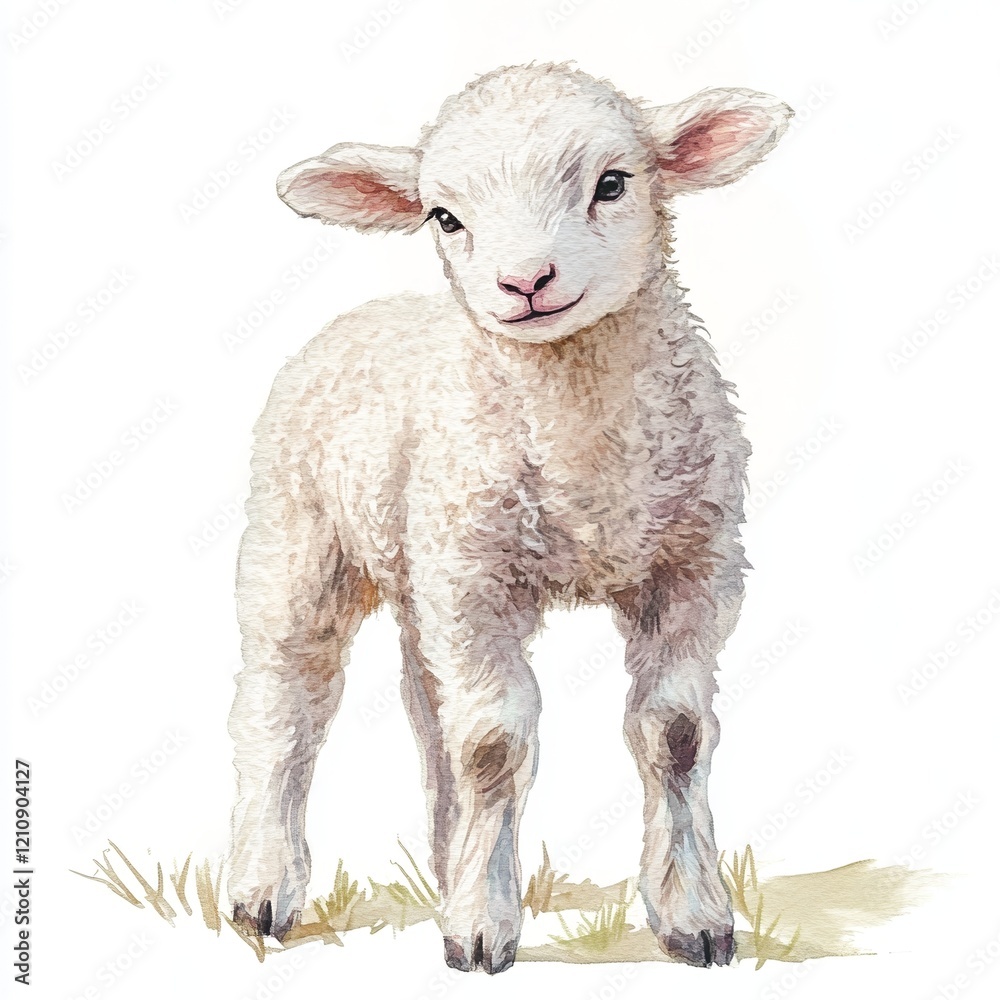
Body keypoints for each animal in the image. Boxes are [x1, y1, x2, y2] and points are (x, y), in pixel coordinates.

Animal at [227, 62, 791, 972]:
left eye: (612, 183)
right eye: (445, 216)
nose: (525, 283)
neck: (585, 464)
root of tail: (364, 313)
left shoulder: (693, 567)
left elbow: (673, 732)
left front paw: (694, 916)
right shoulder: (479, 581)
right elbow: (494, 744)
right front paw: (483, 929)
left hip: (427, 571)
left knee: (430, 712)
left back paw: (445, 863)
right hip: (302, 546)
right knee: (285, 706)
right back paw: (264, 887)